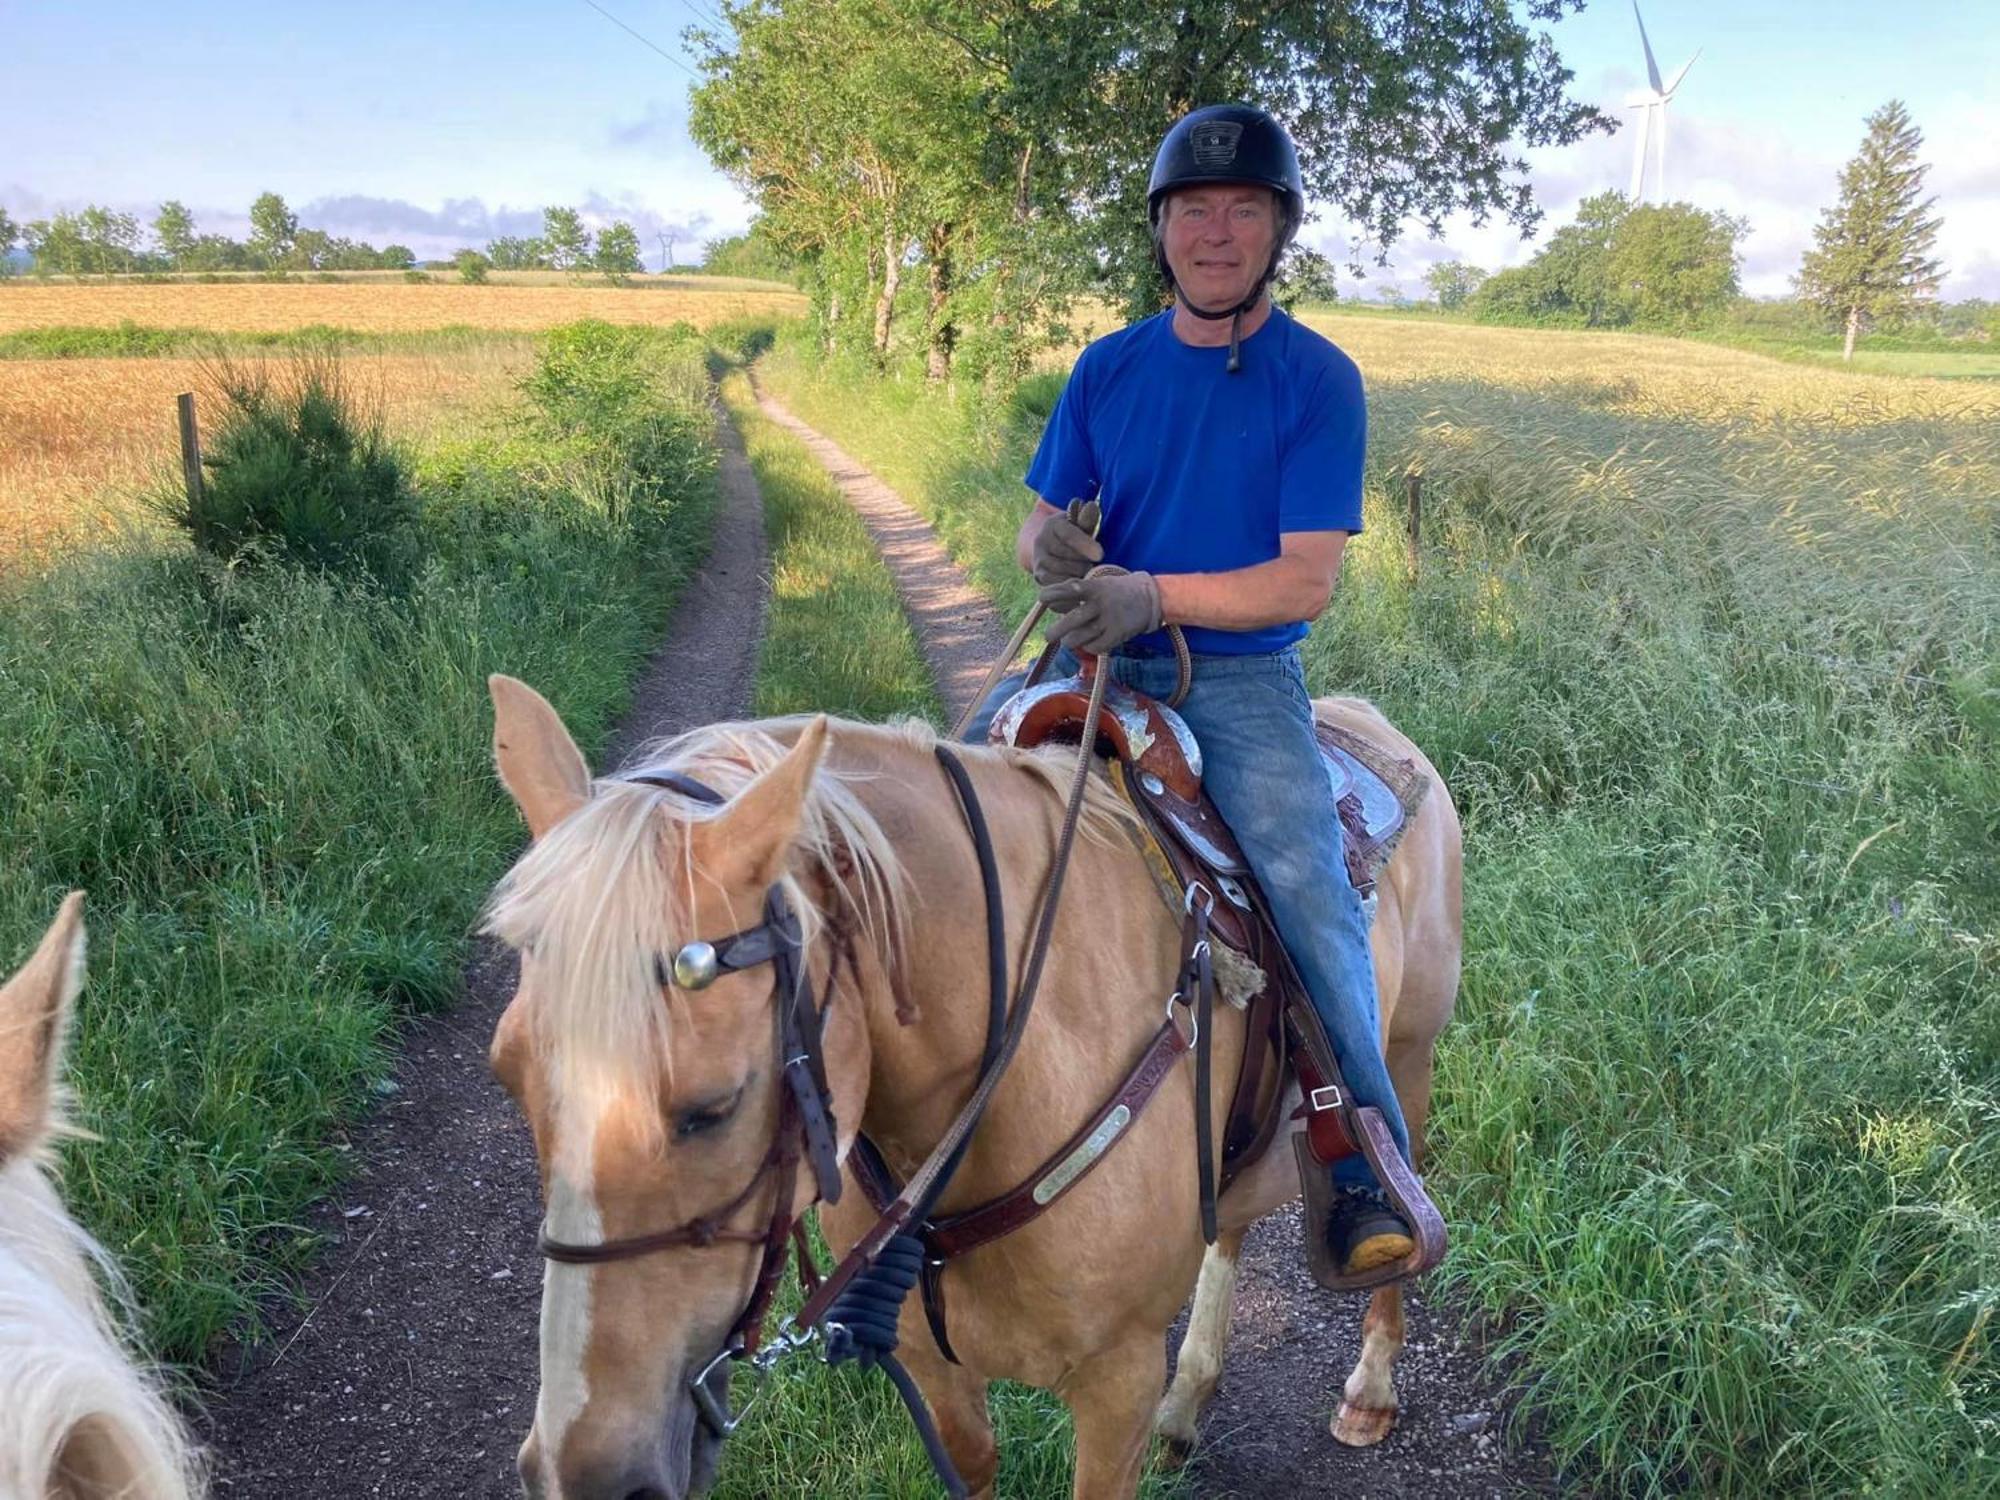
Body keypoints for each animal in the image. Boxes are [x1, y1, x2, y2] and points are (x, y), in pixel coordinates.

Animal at [480, 676, 1456, 1496]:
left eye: (714, 1107)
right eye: (508, 1074)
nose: (582, 1471)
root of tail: (1367, 715)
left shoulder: (1116, 1384)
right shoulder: (932, 1370)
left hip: (1408, 1060)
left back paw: (1370, 1382)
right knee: (1233, 1226)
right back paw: (1189, 1404)